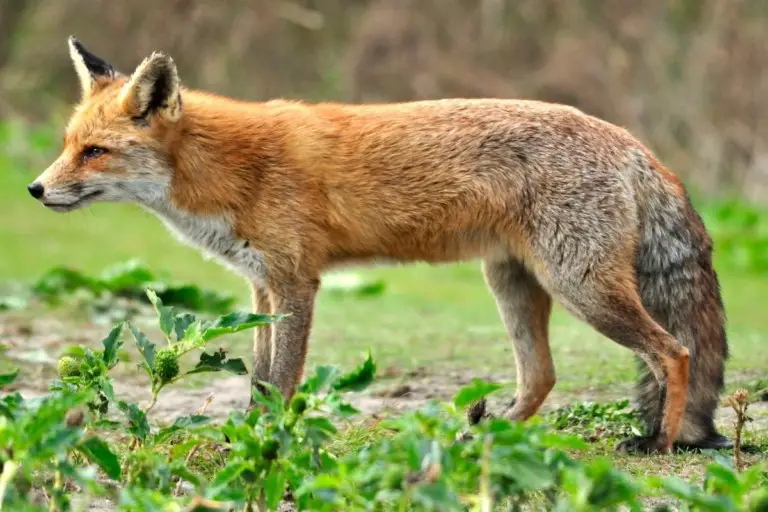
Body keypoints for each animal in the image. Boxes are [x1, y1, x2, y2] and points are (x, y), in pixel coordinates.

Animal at [28, 37, 731, 455]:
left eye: (95, 152)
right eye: (68, 145)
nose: (35, 189)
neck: (228, 168)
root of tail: (631, 142)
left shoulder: (296, 283)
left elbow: (281, 382)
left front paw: (268, 446)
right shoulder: (261, 286)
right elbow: (258, 381)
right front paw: (249, 437)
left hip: (582, 288)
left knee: (675, 352)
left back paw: (662, 444)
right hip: (512, 282)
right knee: (542, 377)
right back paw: (485, 441)